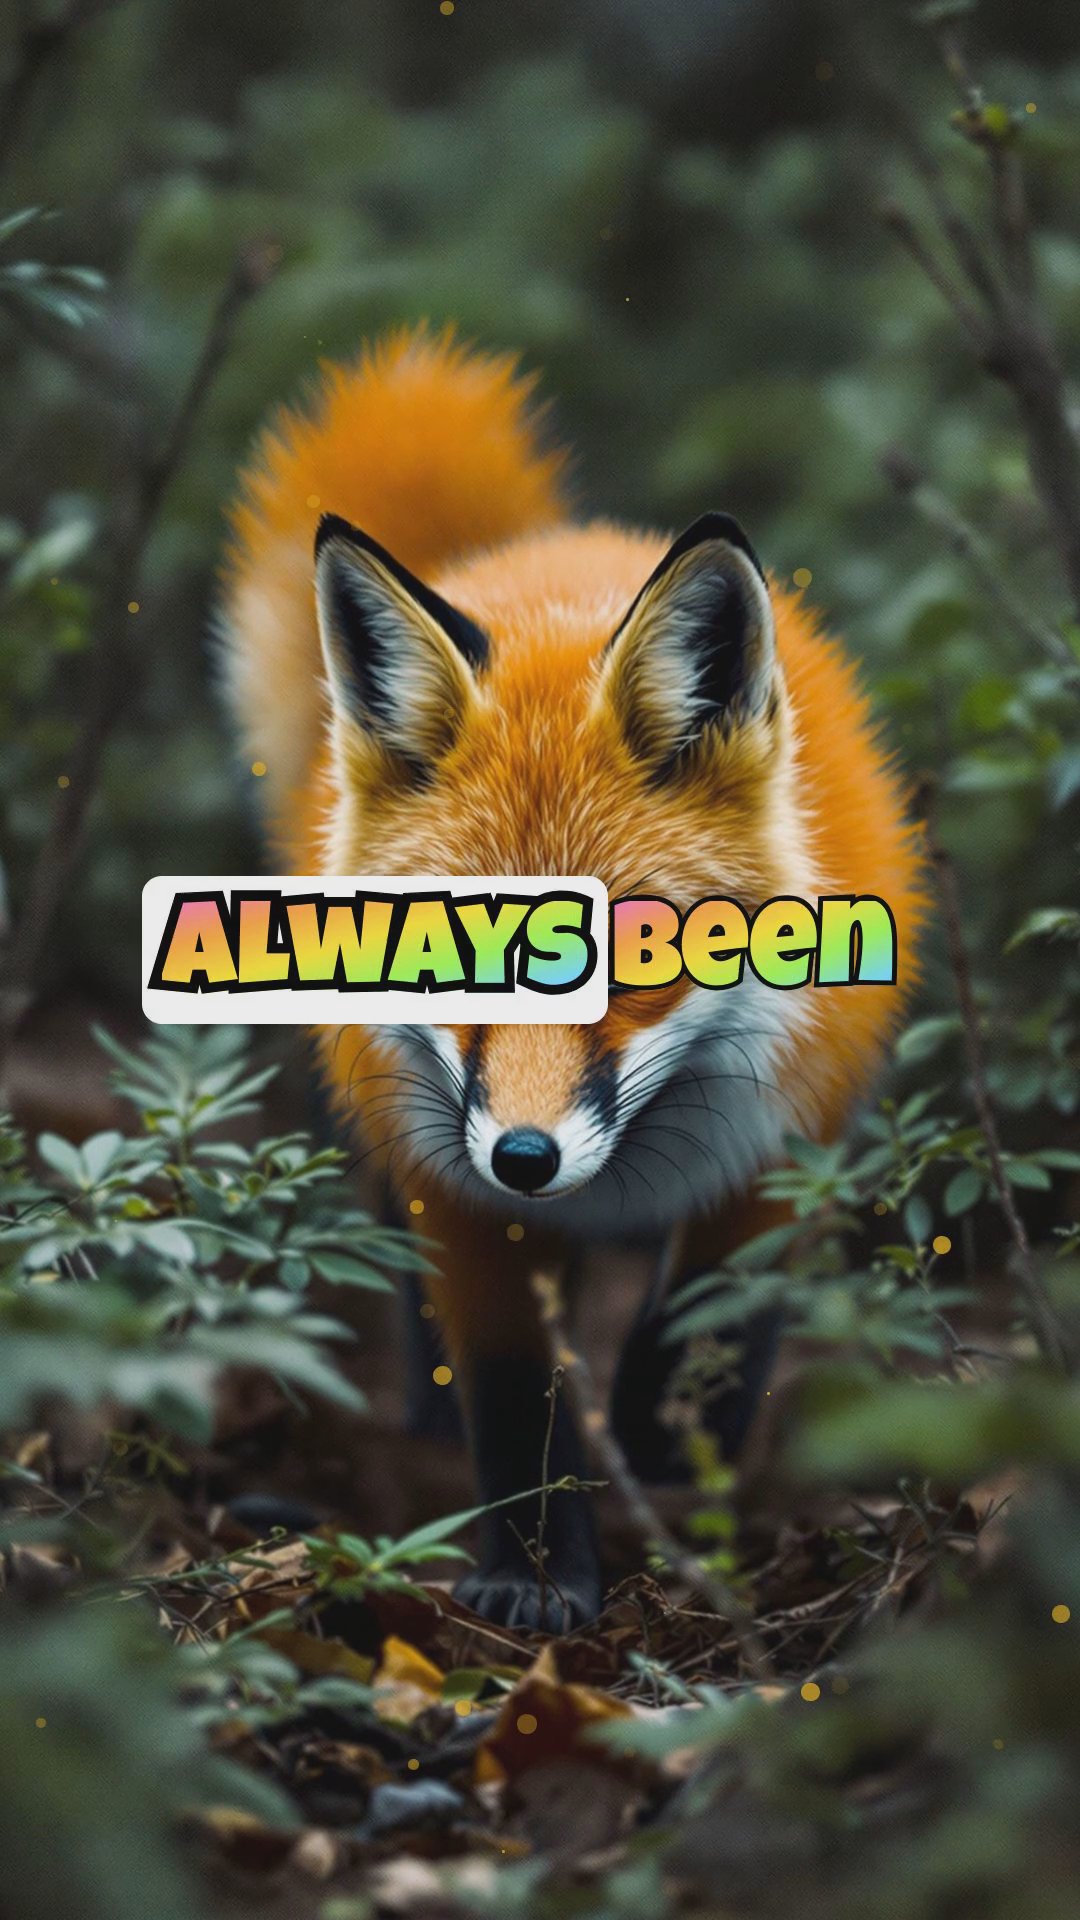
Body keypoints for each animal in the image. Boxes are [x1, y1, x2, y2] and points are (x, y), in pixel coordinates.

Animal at [222, 328, 925, 1629]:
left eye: (640, 949)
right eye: (444, 955)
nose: (527, 1158)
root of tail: (552, 548)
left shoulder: (776, 1147)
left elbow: (704, 1335)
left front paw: (668, 1470)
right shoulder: (455, 1193)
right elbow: (515, 1395)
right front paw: (538, 1569)